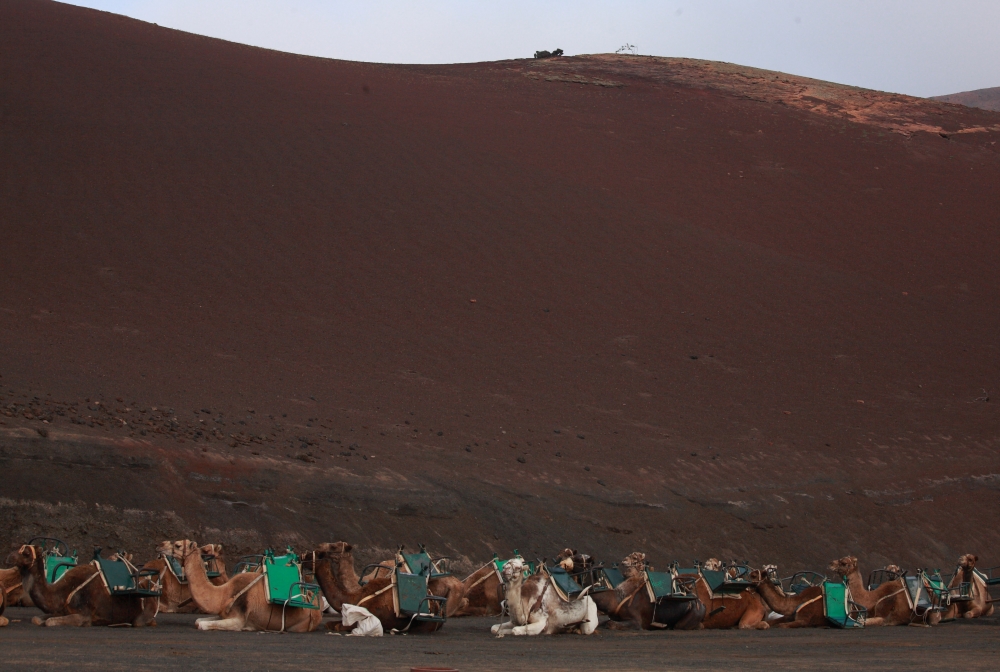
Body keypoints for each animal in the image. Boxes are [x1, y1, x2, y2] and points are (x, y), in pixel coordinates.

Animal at [6, 544, 158, 628]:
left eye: (26, 553)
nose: (10, 557)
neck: (63, 592)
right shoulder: (60, 611)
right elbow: (37, 619)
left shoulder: (84, 616)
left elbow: (50, 622)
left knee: (140, 622)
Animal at [158, 540, 320, 632]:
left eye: (178, 545)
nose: (160, 545)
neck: (224, 593)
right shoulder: (223, 613)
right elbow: (198, 621)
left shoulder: (238, 620)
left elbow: (202, 625)